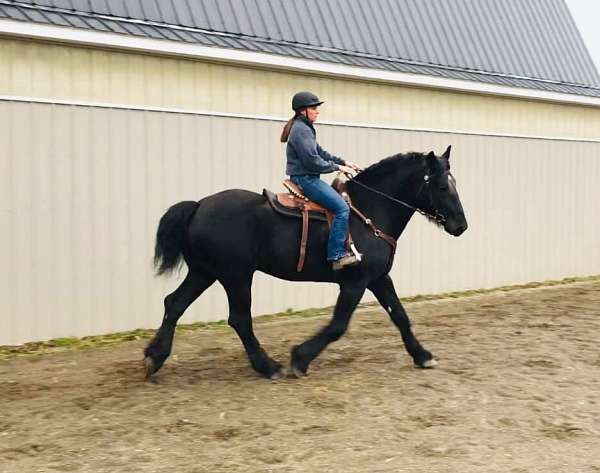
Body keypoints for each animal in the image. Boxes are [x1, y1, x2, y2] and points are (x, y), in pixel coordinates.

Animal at [146, 146, 468, 378]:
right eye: (441, 185)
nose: (461, 225)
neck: (369, 211)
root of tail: (199, 206)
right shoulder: (355, 282)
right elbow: (338, 325)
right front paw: (299, 358)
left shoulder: (378, 278)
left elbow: (400, 315)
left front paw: (422, 356)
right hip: (236, 276)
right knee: (239, 319)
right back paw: (268, 367)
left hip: (205, 272)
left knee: (174, 303)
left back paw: (154, 357)